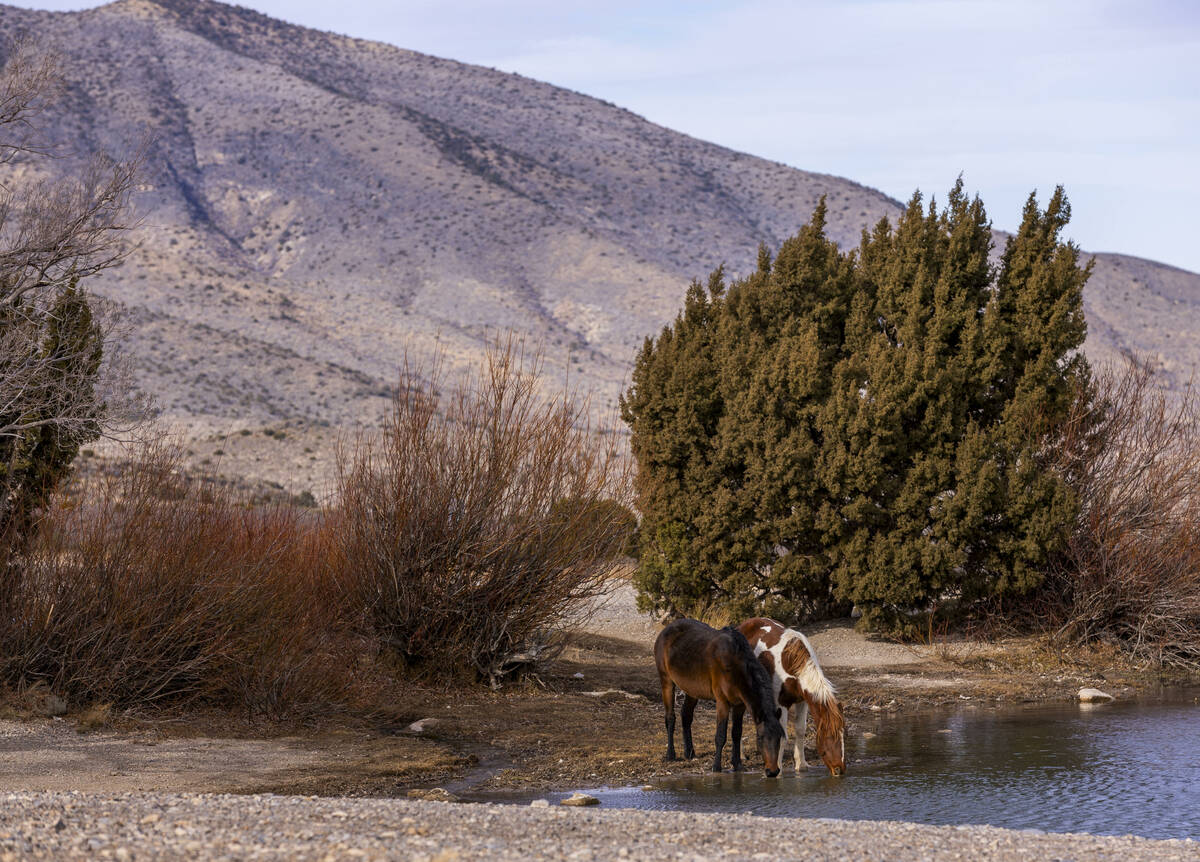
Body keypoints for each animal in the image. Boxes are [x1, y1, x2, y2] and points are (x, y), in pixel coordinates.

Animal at [654, 618, 784, 777]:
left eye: (779, 738)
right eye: (760, 738)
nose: (773, 771)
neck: (735, 665)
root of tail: (666, 630)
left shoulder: (740, 705)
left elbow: (736, 733)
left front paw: (737, 764)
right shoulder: (722, 702)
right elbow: (721, 736)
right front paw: (716, 767)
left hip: (692, 690)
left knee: (686, 716)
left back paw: (689, 752)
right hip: (666, 681)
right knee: (670, 717)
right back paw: (670, 754)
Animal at [739, 617, 846, 777]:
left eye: (843, 734)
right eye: (829, 736)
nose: (839, 769)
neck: (791, 663)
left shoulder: (803, 702)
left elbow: (800, 730)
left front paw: (801, 765)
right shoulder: (780, 704)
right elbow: (782, 735)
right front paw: (778, 769)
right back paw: (740, 756)